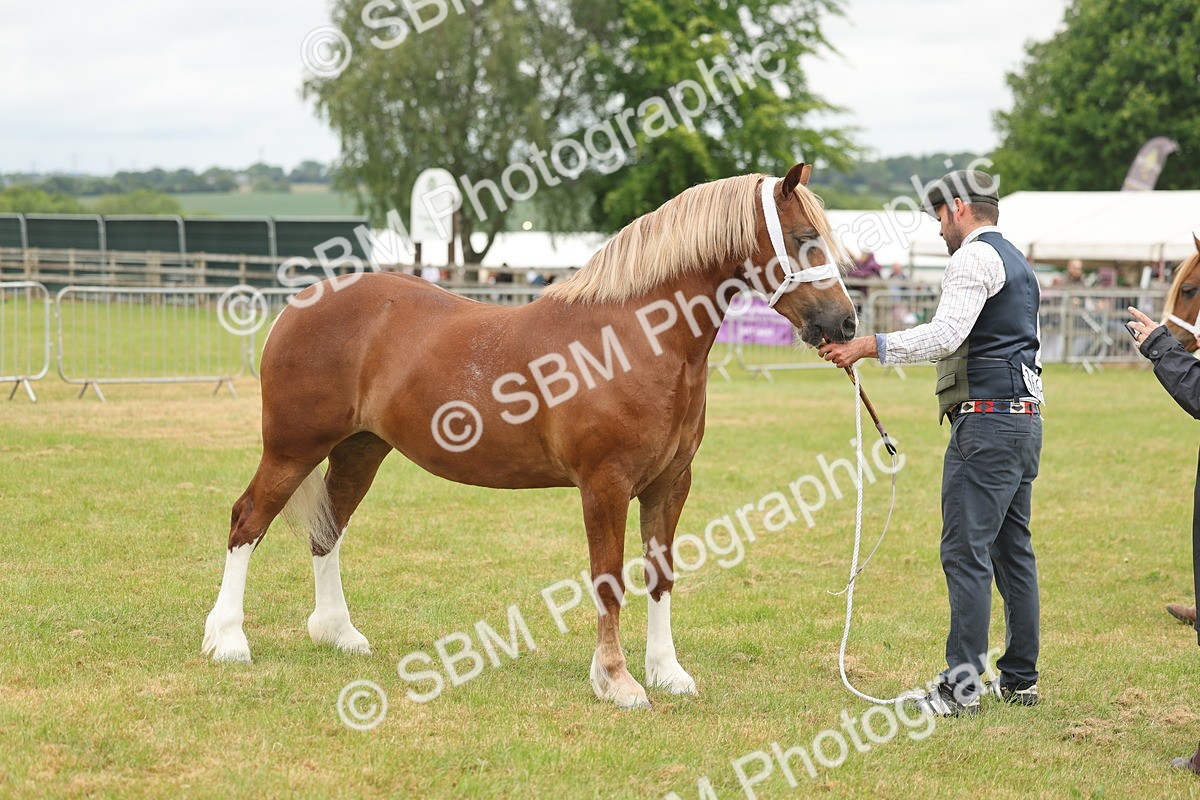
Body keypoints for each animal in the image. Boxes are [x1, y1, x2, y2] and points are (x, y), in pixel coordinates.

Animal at [201, 163, 857, 708]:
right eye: (805, 238)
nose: (845, 324)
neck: (635, 339)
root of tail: (298, 305)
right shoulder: (604, 485)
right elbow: (608, 580)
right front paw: (617, 682)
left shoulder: (671, 483)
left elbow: (660, 575)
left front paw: (668, 673)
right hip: (291, 449)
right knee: (247, 520)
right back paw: (228, 641)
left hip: (360, 451)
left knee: (327, 531)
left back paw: (339, 634)